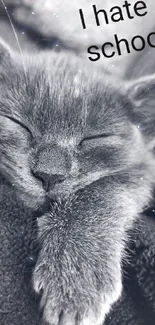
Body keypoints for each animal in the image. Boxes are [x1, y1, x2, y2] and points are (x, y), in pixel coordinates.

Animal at [0, 40, 155, 324]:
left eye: (94, 138)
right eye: (19, 123)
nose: (49, 174)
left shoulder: (143, 169)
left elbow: (104, 188)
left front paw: (76, 277)